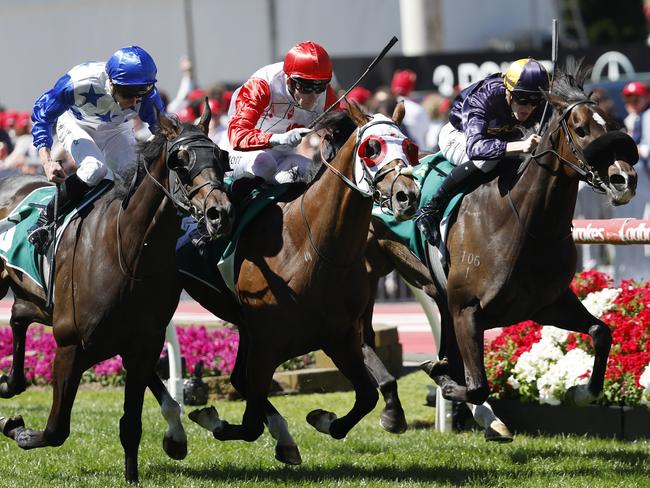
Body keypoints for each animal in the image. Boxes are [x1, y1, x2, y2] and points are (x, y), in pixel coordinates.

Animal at [0, 105, 232, 482]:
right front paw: (15, 427)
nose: (219, 214)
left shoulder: (142, 343)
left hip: (39, 300)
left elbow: (131, 424)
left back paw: (11, 382)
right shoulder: (71, 346)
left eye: (221, 157)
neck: (128, 252)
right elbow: (55, 429)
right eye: (180, 161)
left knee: (18, 315)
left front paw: (138, 471)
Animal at [185, 102, 422, 462]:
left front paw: (324, 419)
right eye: (372, 148)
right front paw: (213, 419)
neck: (313, 247)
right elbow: (250, 420)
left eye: (409, 147)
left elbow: (367, 395)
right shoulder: (266, 342)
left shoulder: (339, 336)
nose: (407, 195)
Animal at [416, 63, 636, 408]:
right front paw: (443, 378)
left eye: (612, 124)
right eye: (580, 128)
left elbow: (602, 333)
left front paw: (580, 391)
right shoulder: (465, 309)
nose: (624, 179)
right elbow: (477, 387)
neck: (524, 227)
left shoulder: (549, 304)